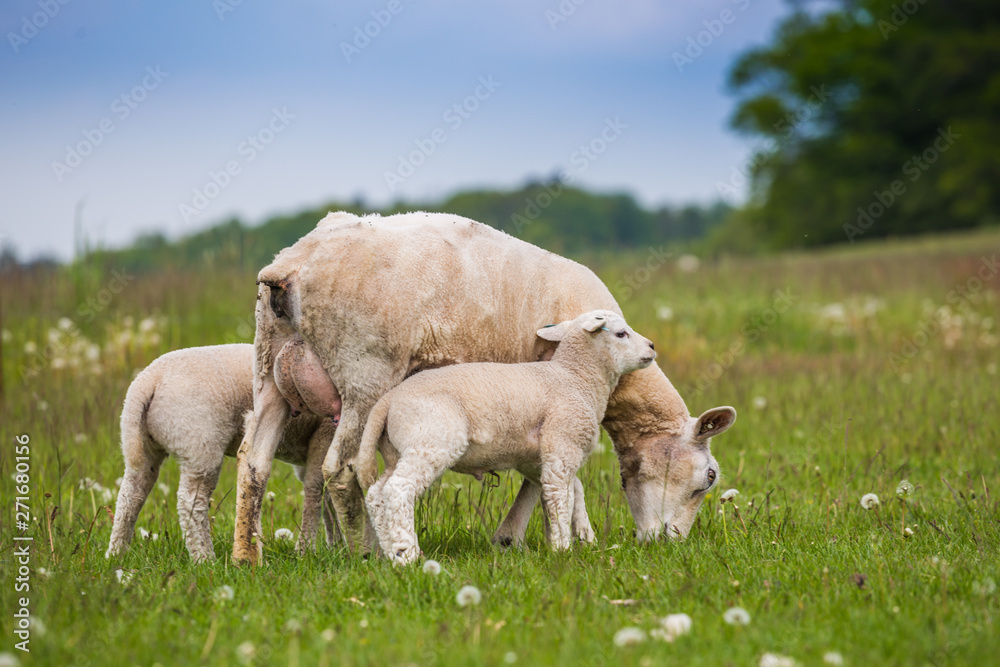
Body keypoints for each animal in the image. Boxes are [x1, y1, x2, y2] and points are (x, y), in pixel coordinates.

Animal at [105, 344, 337, 563]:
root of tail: (147, 381)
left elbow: (329, 497)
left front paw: (337, 545)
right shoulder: (324, 435)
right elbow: (316, 489)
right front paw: (308, 551)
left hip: (143, 445)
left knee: (130, 496)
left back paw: (117, 553)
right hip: (200, 444)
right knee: (191, 502)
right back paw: (205, 558)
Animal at [357, 310, 657, 565]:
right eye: (621, 333)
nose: (652, 347)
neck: (575, 377)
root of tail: (387, 400)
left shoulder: (540, 456)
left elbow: (574, 489)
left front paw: (585, 536)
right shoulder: (562, 441)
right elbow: (561, 496)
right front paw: (562, 548)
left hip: (398, 450)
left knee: (376, 494)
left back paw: (390, 551)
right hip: (430, 439)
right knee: (398, 489)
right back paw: (406, 554)